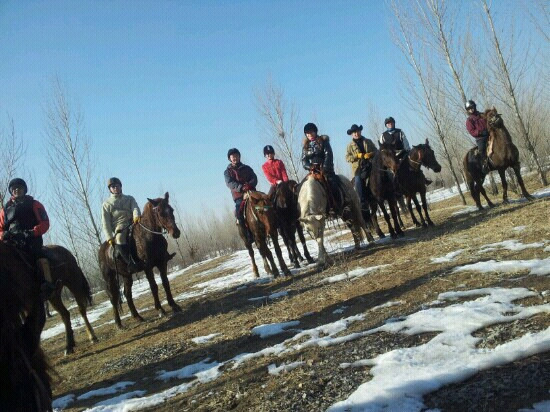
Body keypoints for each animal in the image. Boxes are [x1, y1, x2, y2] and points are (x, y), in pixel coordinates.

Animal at [98, 192, 182, 330]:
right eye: (160, 212)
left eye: (171, 210)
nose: (176, 233)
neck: (148, 236)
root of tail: (102, 249)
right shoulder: (148, 267)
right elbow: (153, 286)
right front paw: (160, 310)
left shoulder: (162, 263)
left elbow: (165, 283)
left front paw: (174, 306)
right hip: (109, 278)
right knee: (114, 298)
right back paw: (118, 324)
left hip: (126, 275)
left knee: (127, 294)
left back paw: (137, 317)